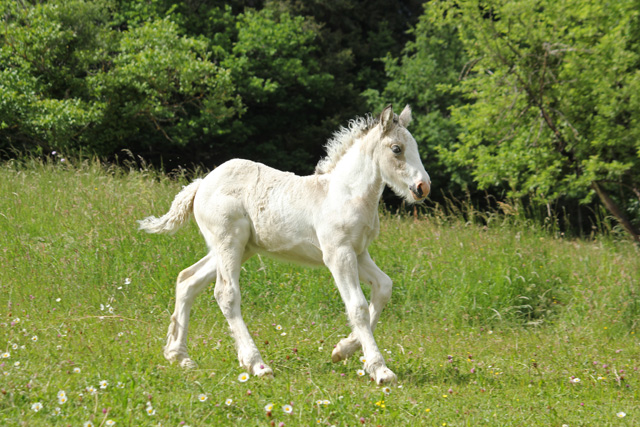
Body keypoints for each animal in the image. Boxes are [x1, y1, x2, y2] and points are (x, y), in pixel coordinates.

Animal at [139, 105, 430, 386]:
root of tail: (201, 184)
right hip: (229, 242)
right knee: (226, 293)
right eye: (397, 148)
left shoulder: (359, 253)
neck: (345, 194)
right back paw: (257, 365)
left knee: (187, 280)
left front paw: (342, 349)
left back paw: (179, 356)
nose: (423, 187)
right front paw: (380, 370)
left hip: (238, 248)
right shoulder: (338, 253)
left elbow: (384, 288)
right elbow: (357, 306)